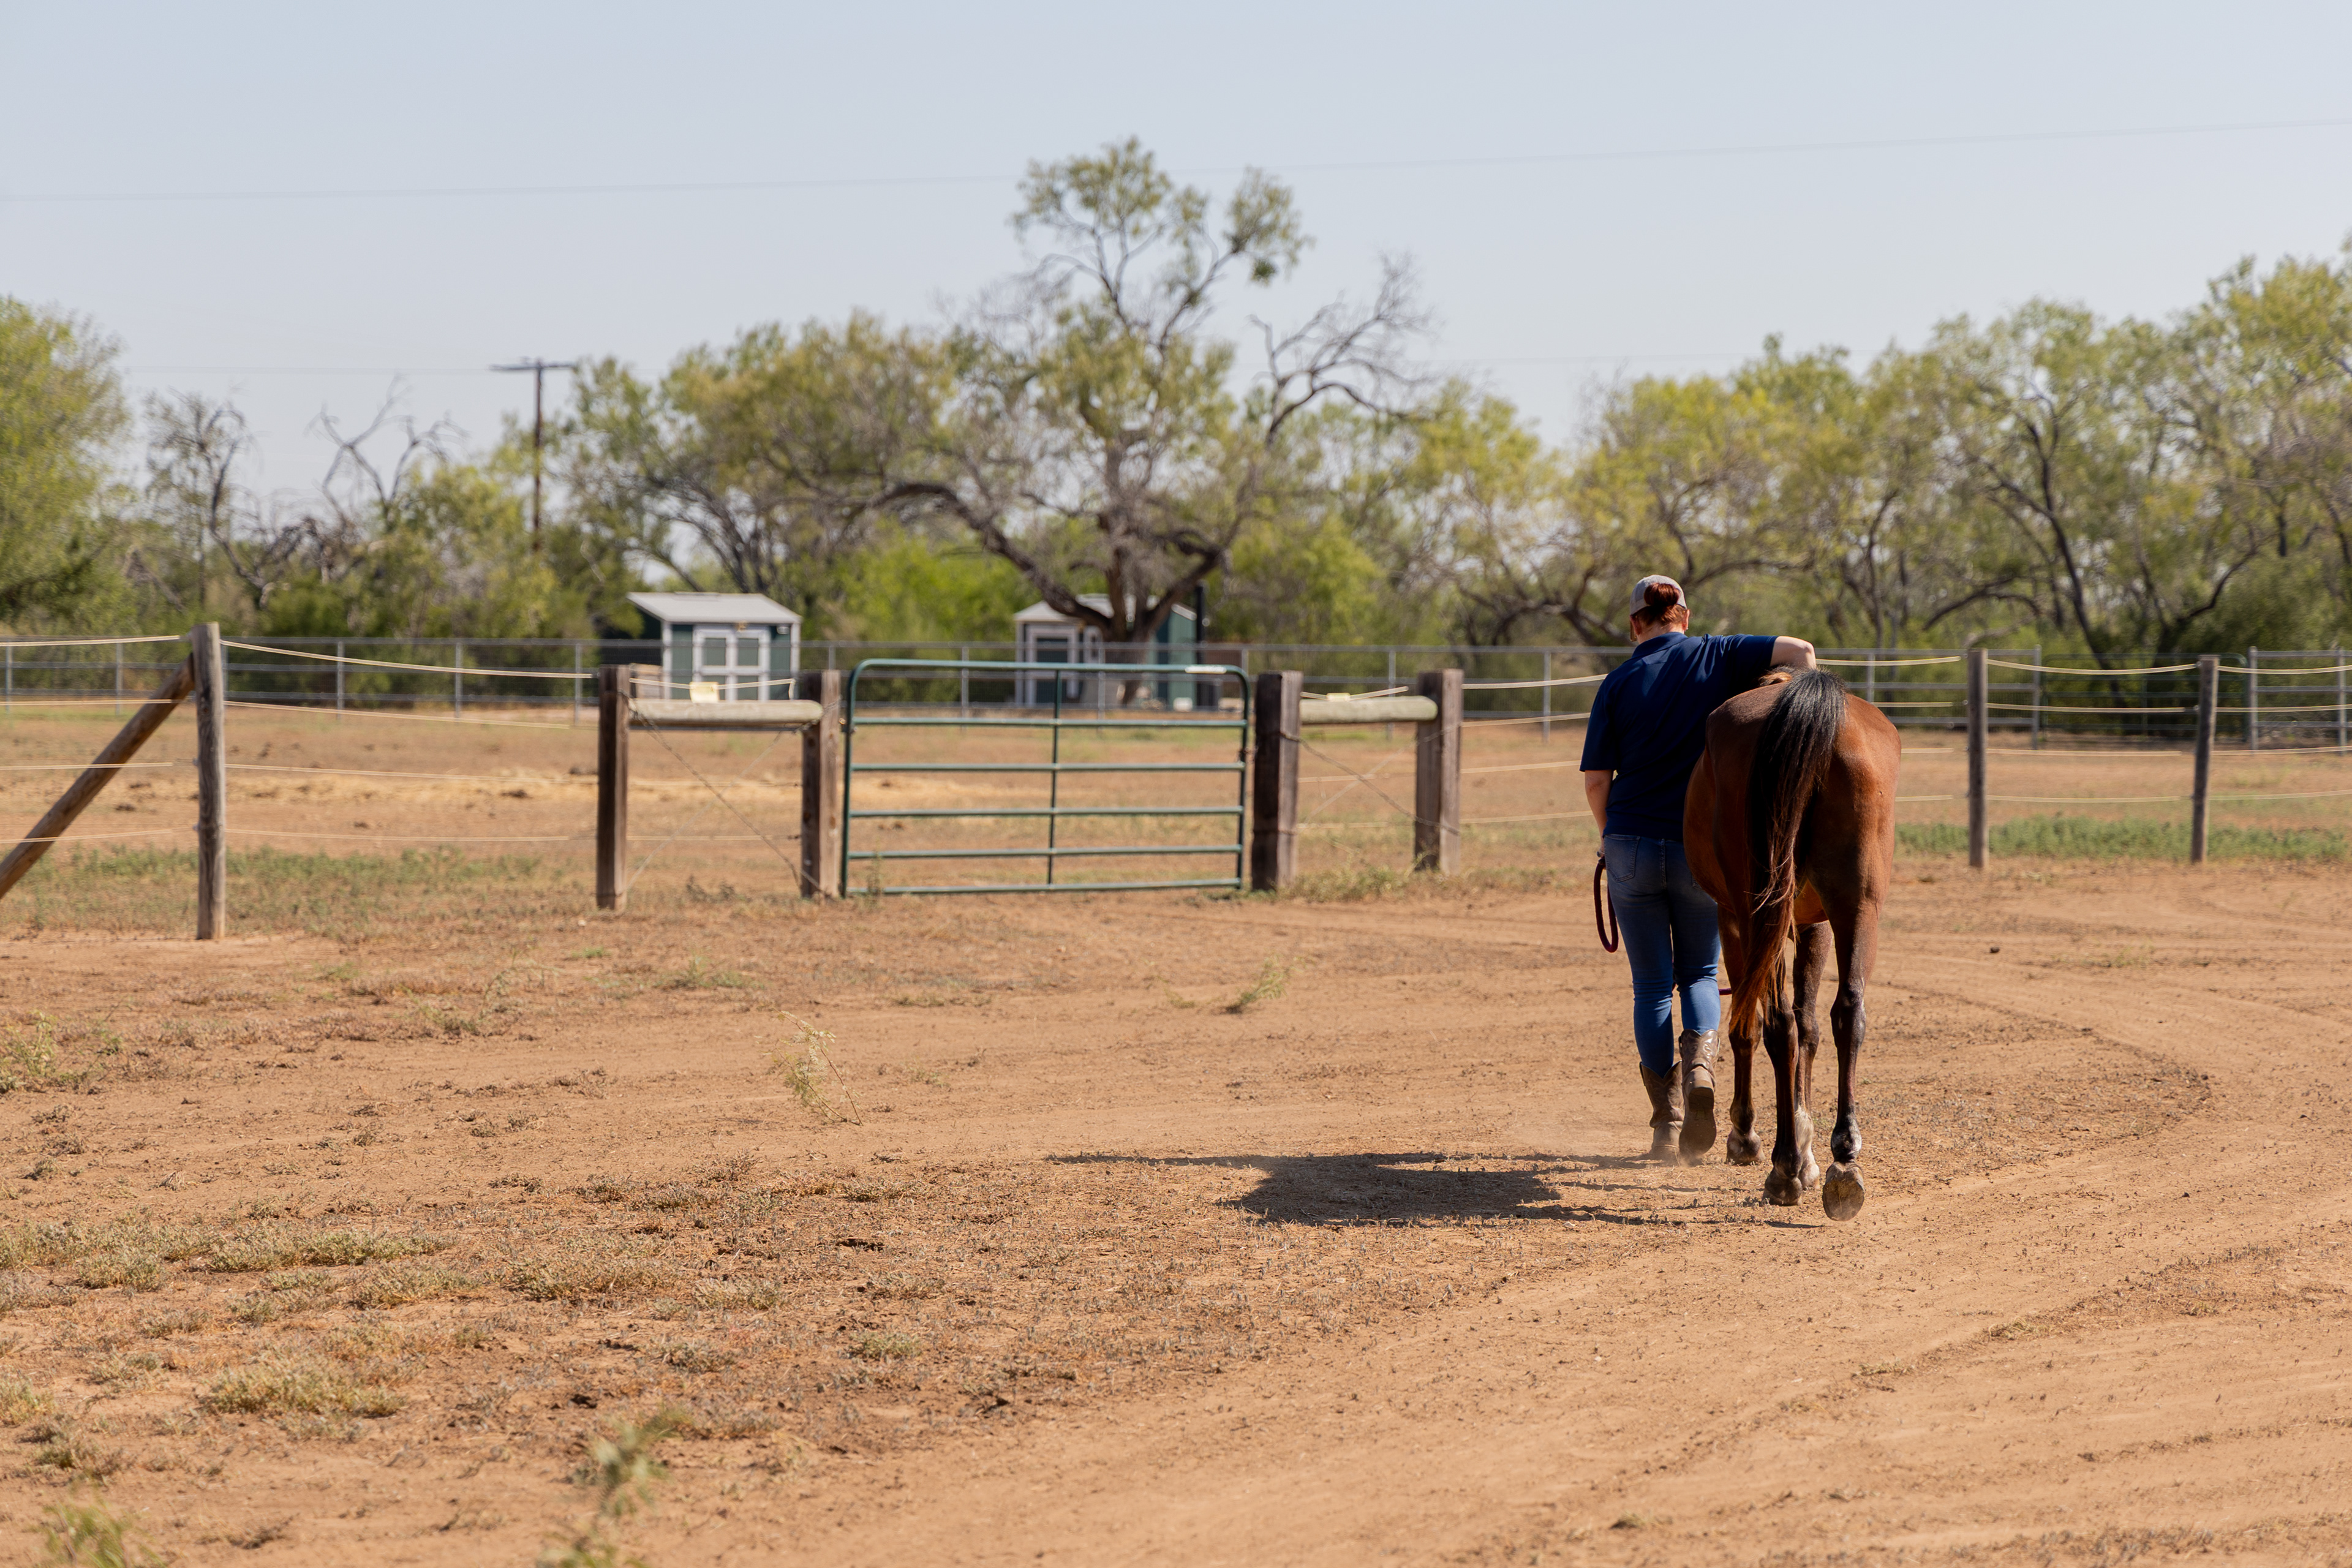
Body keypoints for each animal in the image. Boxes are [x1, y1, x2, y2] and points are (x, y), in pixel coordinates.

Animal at [1681, 667, 1901, 1221]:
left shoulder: (1735, 922)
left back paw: (1782, 1169)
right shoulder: (1815, 924)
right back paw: (1844, 1158)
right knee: (1847, 1012)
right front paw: (1807, 1150)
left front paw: (1754, 1139)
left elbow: (1750, 1028)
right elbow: (1812, 1027)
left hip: (1759, 912)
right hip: (1857, 906)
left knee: (1777, 1025)